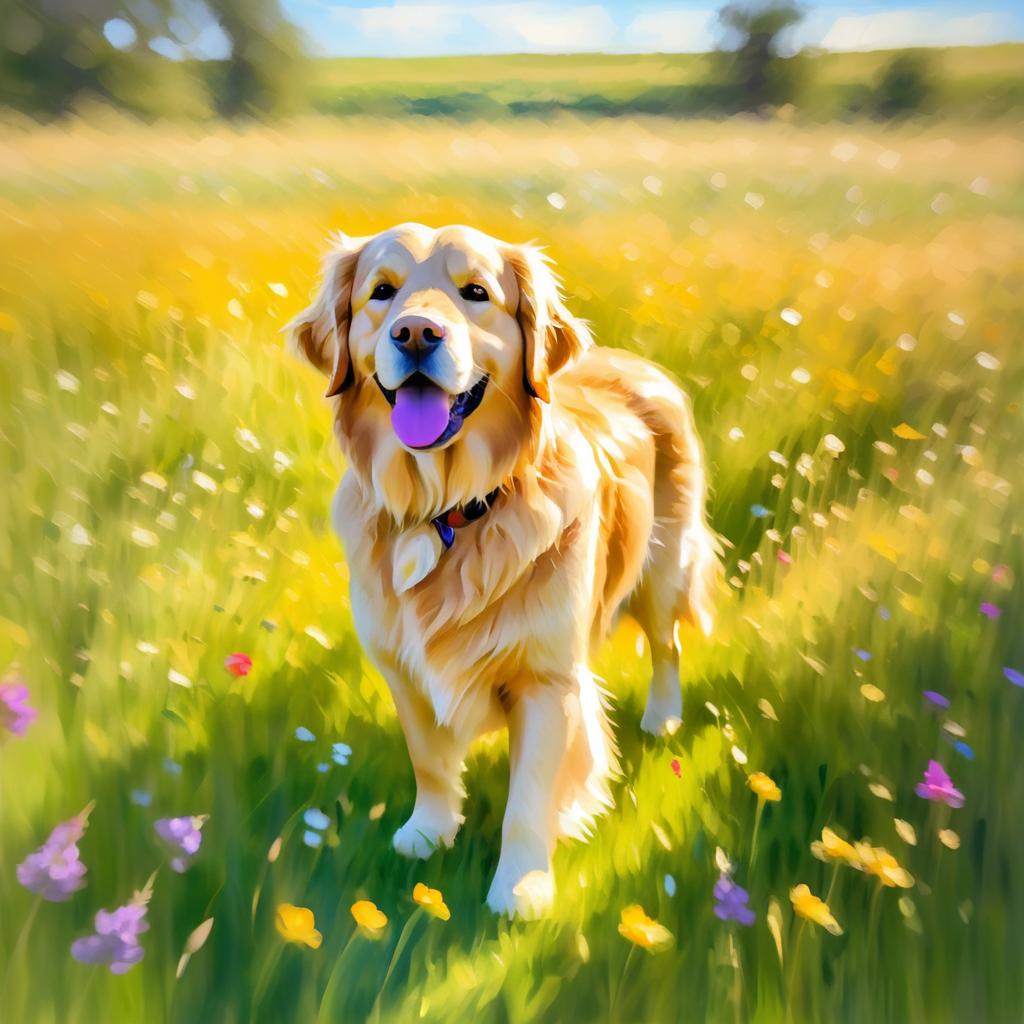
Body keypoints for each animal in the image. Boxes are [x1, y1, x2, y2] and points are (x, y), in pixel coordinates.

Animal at [288, 224, 720, 921]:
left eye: (476, 293)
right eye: (382, 291)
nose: (416, 333)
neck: (447, 509)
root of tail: (639, 362)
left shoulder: (549, 681)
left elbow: (530, 798)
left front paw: (520, 889)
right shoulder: (403, 670)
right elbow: (431, 763)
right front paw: (428, 833)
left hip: (663, 567)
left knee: (667, 644)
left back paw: (663, 718)